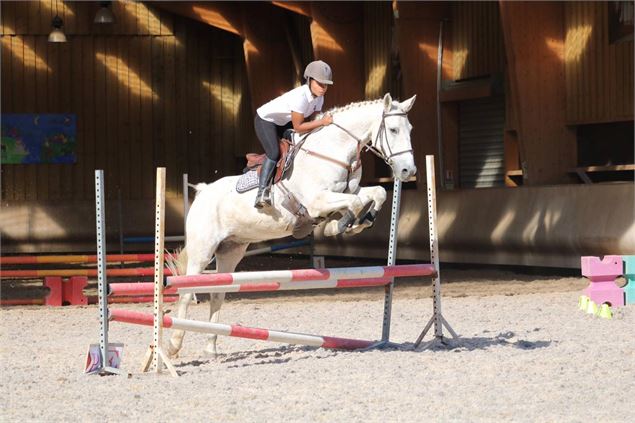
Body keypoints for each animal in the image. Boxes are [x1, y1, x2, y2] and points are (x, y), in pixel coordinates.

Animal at [166, 92, 420, 358]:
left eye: (410, 129)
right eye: (392, 129)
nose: (407, 170)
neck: (334, 149)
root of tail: (202, 191)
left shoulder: (345, 192)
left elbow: (377, 193)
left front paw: (357, 223)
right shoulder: (317, 201)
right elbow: (356, 202)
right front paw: (340, 225)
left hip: (230, 251)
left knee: (218, 293)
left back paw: (211, 347)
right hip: (203, 251)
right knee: (187, 291)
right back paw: (174, 344)